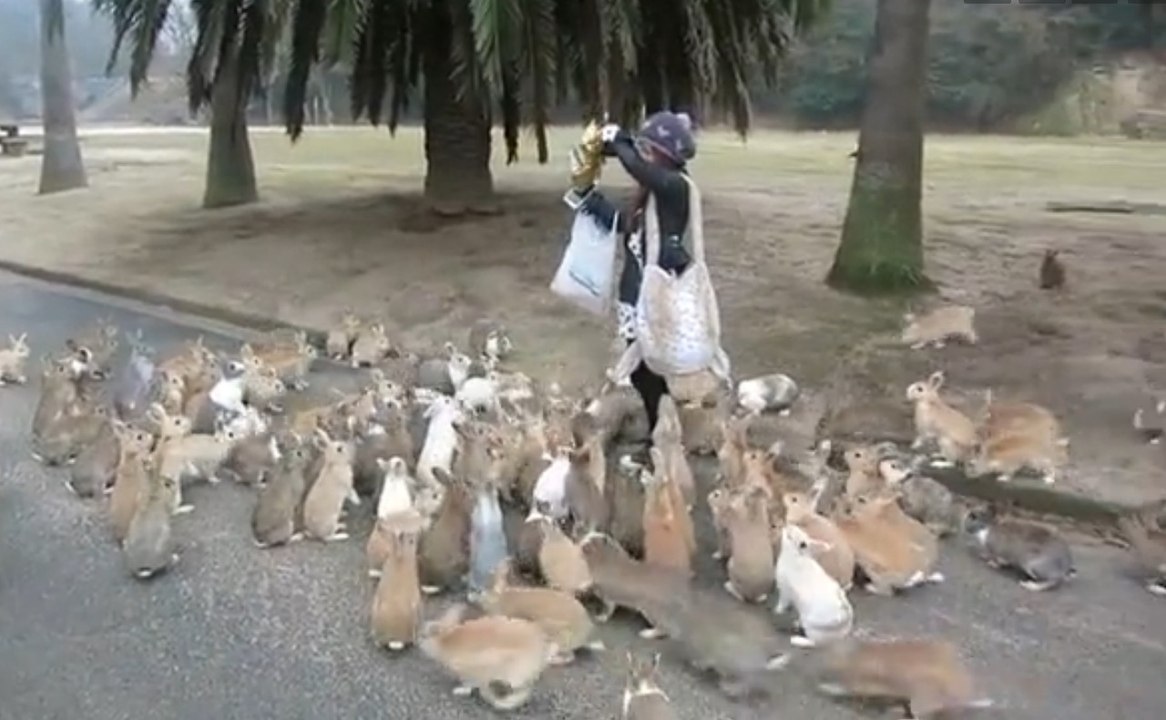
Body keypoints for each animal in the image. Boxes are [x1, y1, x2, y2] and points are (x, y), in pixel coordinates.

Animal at [419, 603, 557, 710]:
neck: (444, 640)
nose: (417, 641)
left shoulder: (467, 669)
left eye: (423, 636)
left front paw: (460, 690)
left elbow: (468, 685)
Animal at [807, 636, 994, 718]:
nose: (818, 659)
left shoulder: (859, 682)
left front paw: (826, 688)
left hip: (923, 697)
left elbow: (846, 690)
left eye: (827, 651)